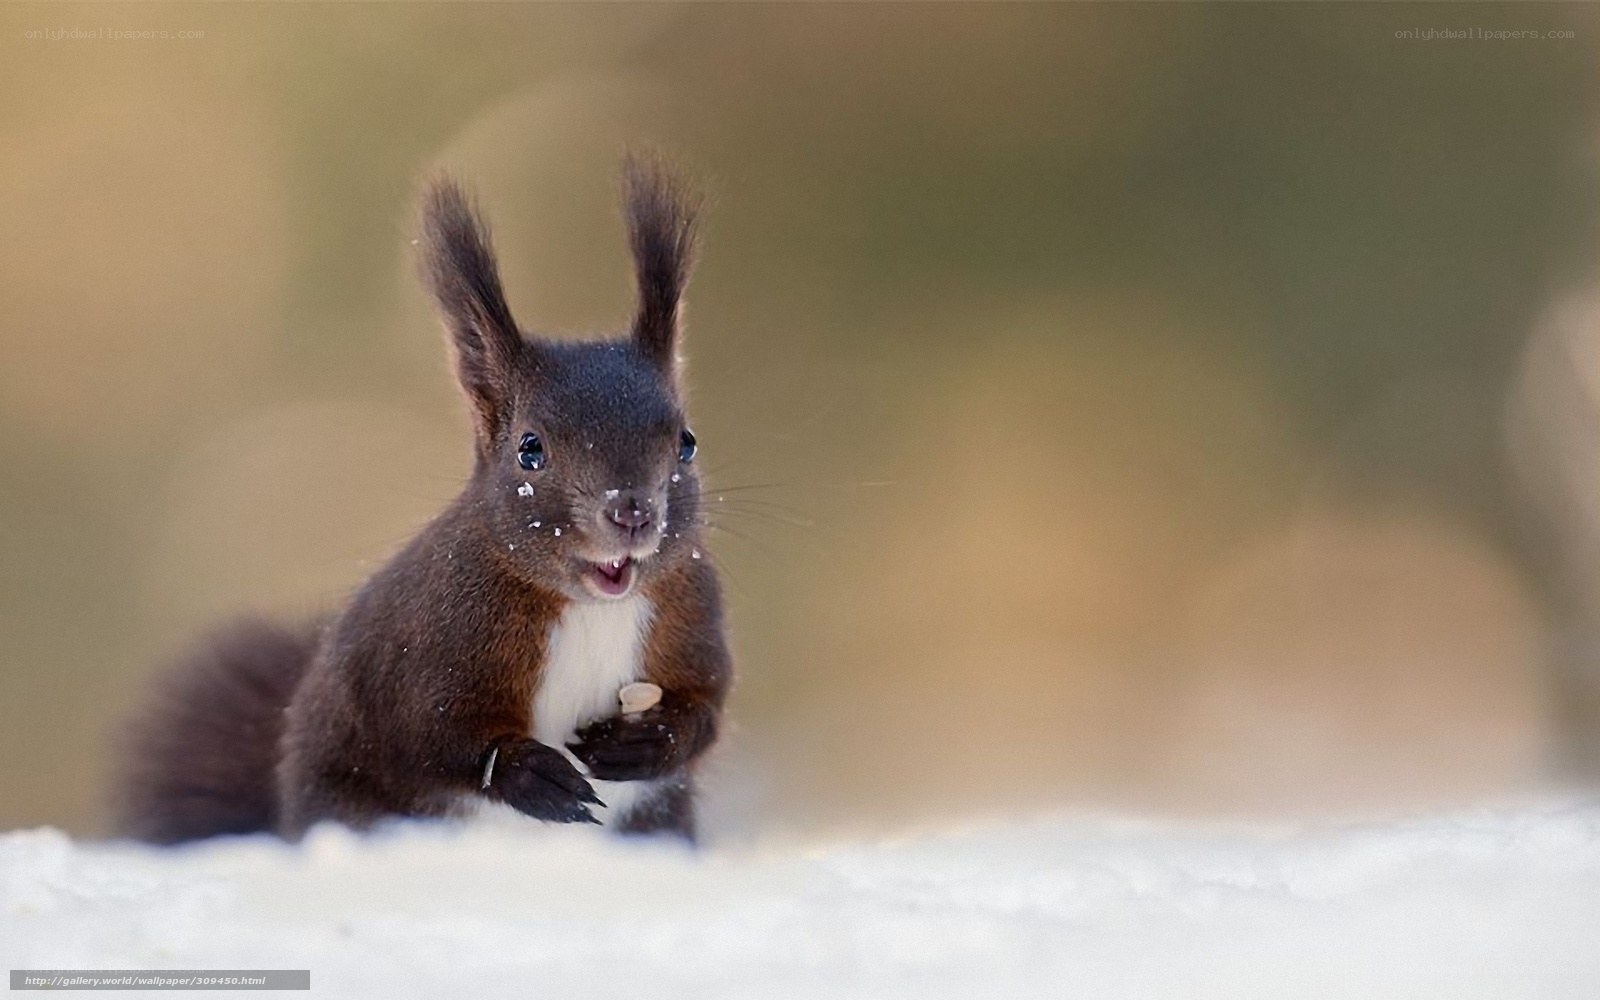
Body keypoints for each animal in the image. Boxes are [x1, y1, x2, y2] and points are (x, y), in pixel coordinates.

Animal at [112, 158, 732, 845]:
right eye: (530, 450)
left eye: (687, 442)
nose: (632, 510)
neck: (589, 607)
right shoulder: (429, 645)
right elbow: (431, 735)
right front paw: (527, 773)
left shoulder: (693, 614)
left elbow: (706, 708)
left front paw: (649, 739)